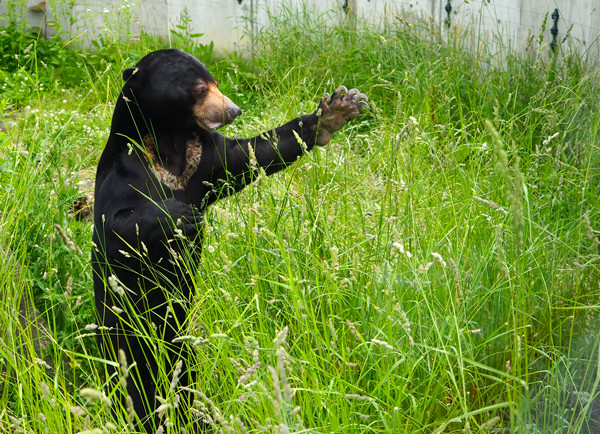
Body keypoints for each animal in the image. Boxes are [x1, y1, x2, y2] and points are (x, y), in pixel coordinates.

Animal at [91, 48, 368, 430]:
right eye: (198, 90)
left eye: (216, 83)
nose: (234, 110)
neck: (169, 141)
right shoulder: (125, 170)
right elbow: (116, 227)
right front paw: (181, 213)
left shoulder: (206, 159)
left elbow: (255, 153)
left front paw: (338, 109)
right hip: (122, 335)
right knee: (130, 384)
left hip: (182, 344)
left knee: (183, 377)